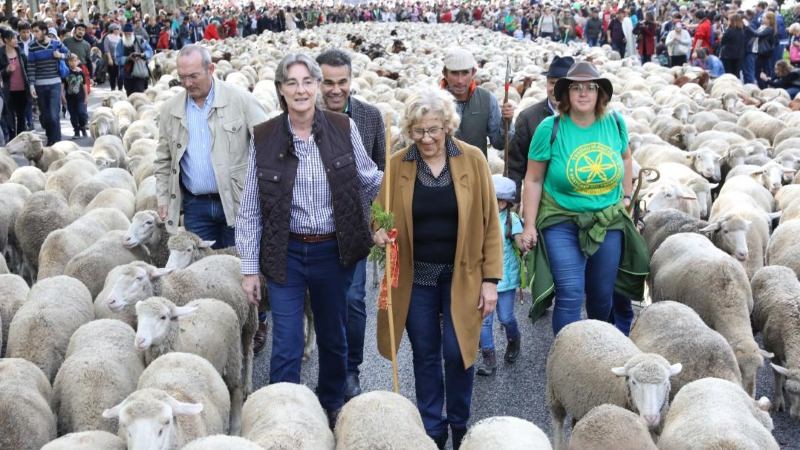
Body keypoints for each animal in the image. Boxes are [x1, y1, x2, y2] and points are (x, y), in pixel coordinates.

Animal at [135, 298, 244, 432]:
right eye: (138, 316)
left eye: (163, 317)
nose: (140, 340)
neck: (181, 340)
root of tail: (214, 300)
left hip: (233, 357)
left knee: (237, 389)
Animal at [552, 320, 680, 450]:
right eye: (633, 382)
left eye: (665, 382)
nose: (650, 418)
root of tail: (581, 321)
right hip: (554, 393)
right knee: (558, 422)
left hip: (578, 402)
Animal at [752, 266, 800, 420]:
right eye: (791, 391)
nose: (796, 416)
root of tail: (773, 266)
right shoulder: (774, 351)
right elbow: (777, 377)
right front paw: (779, 402)